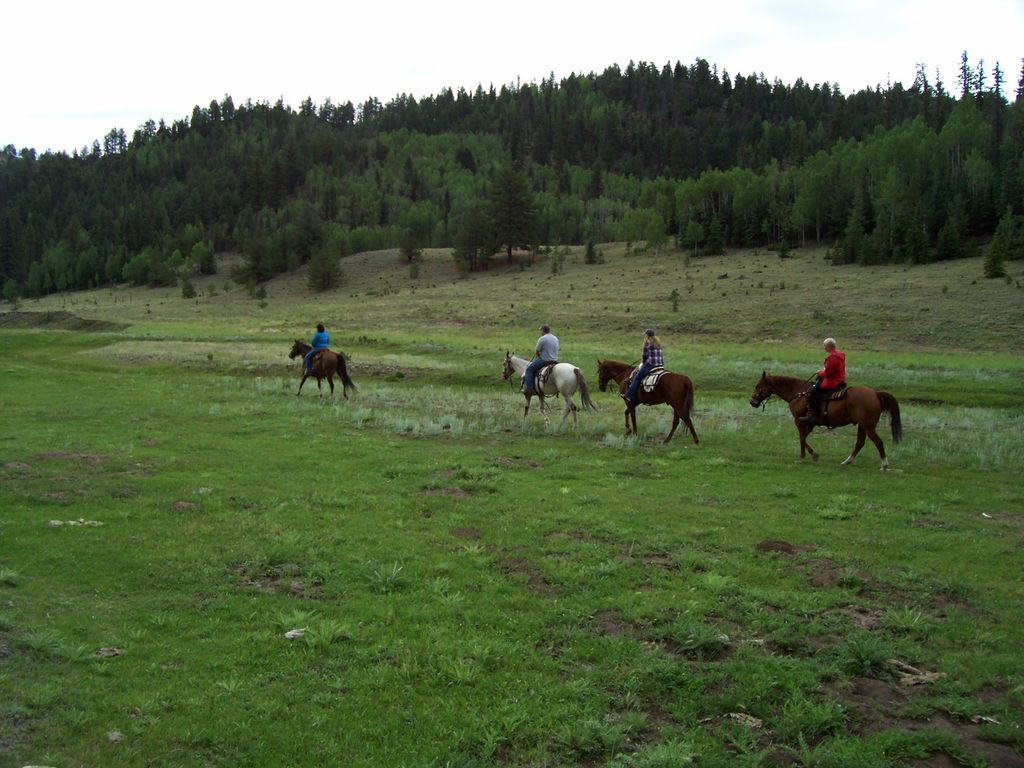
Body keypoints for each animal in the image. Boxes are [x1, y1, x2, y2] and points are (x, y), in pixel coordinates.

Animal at [745, 370, 905, 468]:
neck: (799, 393)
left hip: (868, 426)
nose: (752, 402)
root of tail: (876, 394)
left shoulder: (799, 420)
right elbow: (805, 436)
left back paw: (884, 464)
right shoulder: (811, 422)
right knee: (860, 443)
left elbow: (801, 436)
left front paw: (803, 455)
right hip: (862, 426)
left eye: (758, 386)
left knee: (878, 442)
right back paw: (847, 461)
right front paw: (813, 454)